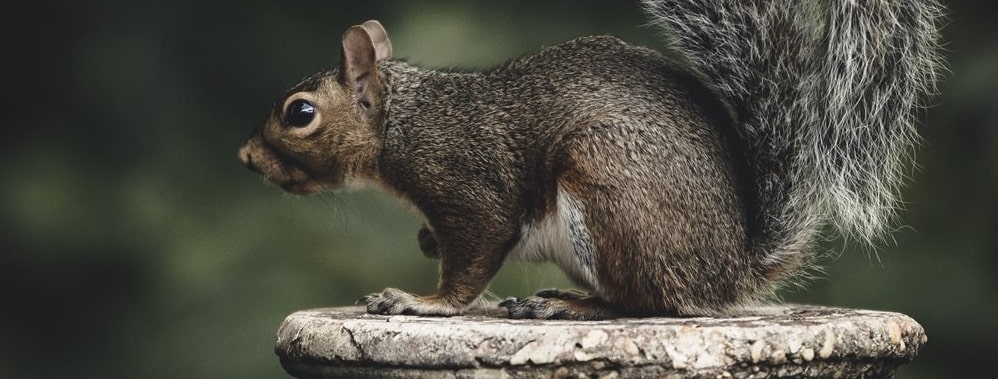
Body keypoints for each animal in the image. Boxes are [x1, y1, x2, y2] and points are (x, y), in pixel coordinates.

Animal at [238, 0, 940, 320]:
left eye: (300, 113)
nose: (246, 157)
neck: (402, 122)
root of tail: (729, 271)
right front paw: (423, 245)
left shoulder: (467, 184)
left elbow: (474, 257)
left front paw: (422, 301)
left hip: (609, 186)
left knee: (648, 303)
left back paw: (570, 307)